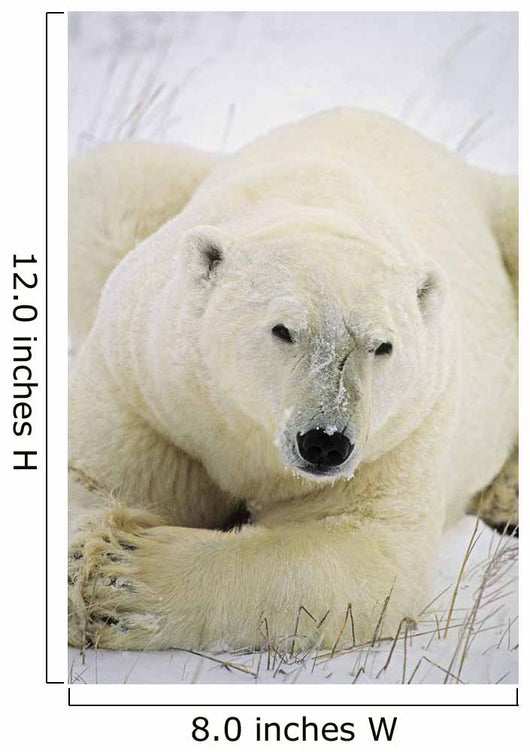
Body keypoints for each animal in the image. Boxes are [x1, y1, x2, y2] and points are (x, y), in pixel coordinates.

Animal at [68, 108, 518, 652]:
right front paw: (89, 564)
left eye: (382, 346)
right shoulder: (145, 387)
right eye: (283, 330)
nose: (325, 442)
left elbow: (361, 551)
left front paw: (123, 574)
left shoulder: (403, 433)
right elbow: (95, 477)